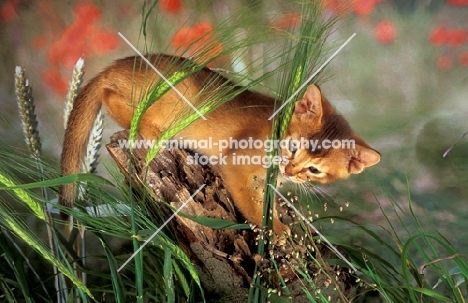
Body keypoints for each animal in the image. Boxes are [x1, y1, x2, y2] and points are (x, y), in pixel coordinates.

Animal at [59, 54, 380, 235]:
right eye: (293, 148)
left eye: (315, 170)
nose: (291, 170)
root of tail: (114, 66)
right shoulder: (235, 165)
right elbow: (252, 206)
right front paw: (276, 231)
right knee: (112, 97)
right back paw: (150, 129)